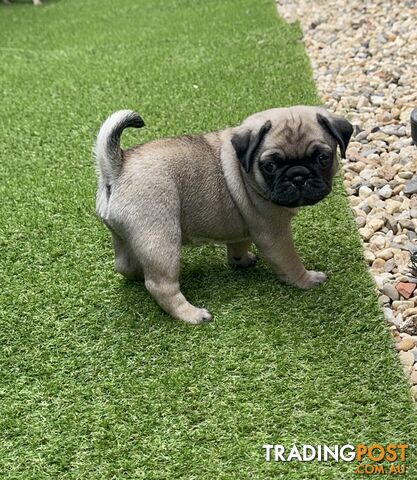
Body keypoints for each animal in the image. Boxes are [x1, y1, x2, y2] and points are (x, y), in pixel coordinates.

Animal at [94, 105, 352, 322]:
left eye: (323, 158)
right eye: (270, 166)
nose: (298, 175)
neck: (245, 169)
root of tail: (117, 167)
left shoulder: (244, 225)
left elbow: (239, 244)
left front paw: (241, 260)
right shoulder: (274, 233)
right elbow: (290, 261)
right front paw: (306, 280)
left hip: (124, 236)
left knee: (125, 265)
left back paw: (139, 272)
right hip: (161, 239)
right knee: (161, 286)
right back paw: (191, 314)